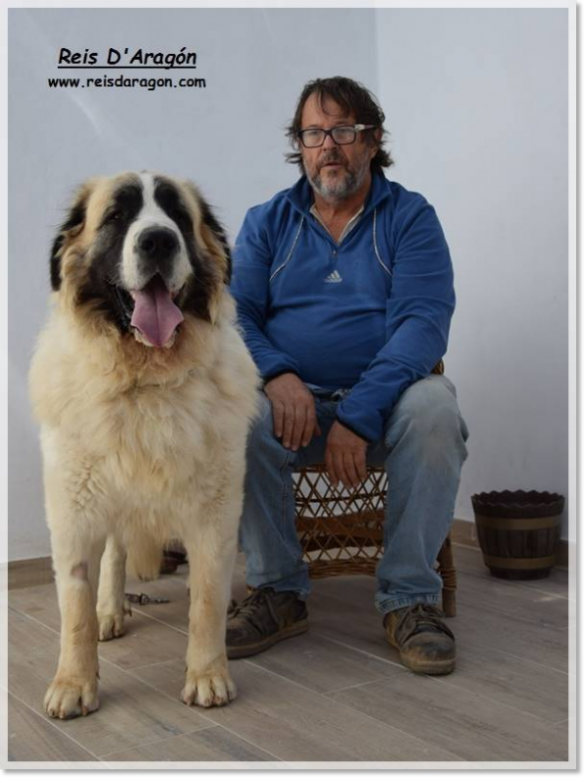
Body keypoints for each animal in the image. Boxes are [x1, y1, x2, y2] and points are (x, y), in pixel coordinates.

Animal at [29, 174, 258, 724]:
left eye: (177, 216)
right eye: (117, 216)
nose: (157, 241)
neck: (144, 380)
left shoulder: (215, 512)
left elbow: (207, 599)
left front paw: (207, 674)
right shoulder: (74, 512)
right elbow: (75, 607)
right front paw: (74, 683)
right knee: (114, 554)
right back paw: (111, 611)